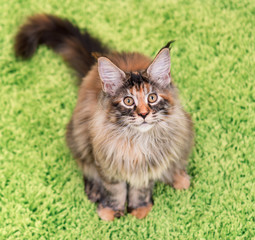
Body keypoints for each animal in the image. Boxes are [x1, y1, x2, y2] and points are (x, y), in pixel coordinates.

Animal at [14, 14, 193, 221]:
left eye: (152, 97)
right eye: (128, 101)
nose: (143, 114)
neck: (137, 142)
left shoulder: (148, 166)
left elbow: (140, 187)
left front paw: (139, 209)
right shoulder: (105, 162)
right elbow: (115, 190)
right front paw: (111, 211)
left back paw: (180, 179)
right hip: (78, 135)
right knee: (86, 168)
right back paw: (94, 191)